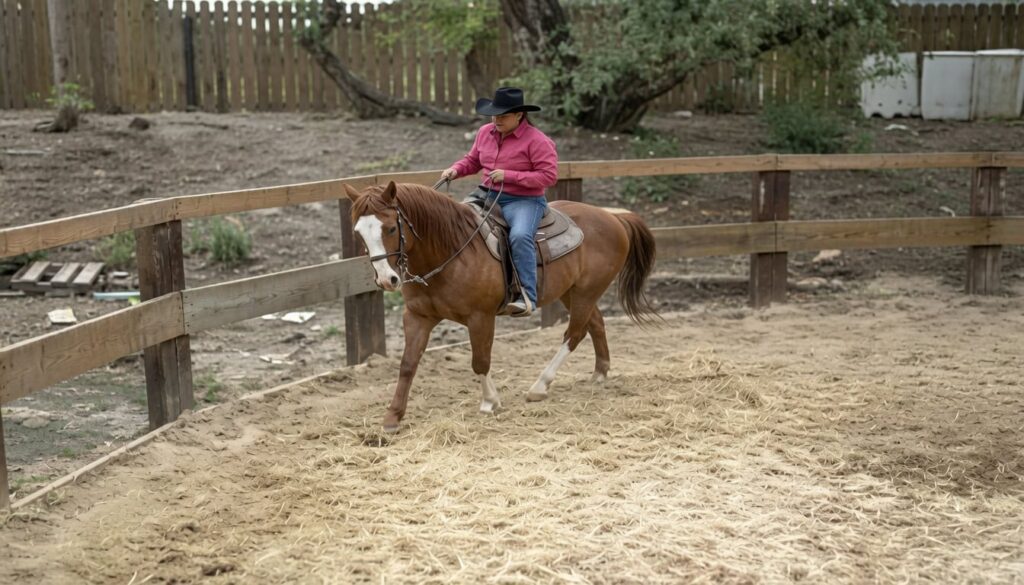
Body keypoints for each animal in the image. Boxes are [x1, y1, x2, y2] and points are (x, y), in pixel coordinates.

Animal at [344, 180, 660, 432]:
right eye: (358, 233)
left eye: (390, 227)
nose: (386, 279)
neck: (450, 250)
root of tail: (614, 218)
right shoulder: (418, 317)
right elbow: (408, 364)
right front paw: (392, 417)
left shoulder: (481, 317)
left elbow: (480, 361)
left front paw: (489, 401)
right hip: (571, 293)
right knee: (595, 323)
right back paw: (600, 372)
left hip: (585, 292)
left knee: (574, 333)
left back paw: (540, 386)